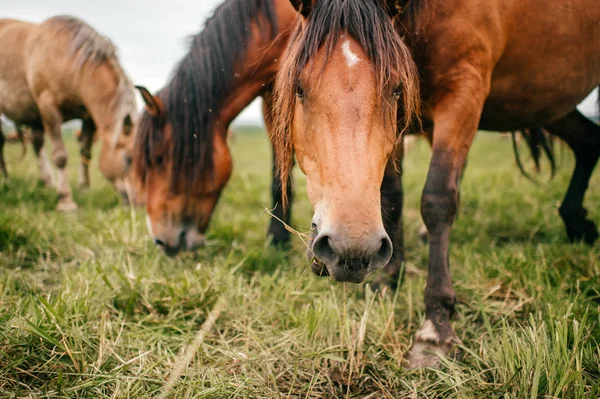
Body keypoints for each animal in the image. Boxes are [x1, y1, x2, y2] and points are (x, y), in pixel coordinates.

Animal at [0, 15, 137, 209]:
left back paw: (48, 183)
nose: (140, 202)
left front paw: (84, 189)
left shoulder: (88, 117)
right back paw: (6, 180)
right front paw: (65, 200)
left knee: (37, 144)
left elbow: (85, 152)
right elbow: (60, 156)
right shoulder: (49, 107)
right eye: (128, 159)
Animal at [274, 0, 600, 368]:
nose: (352, 248)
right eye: (300, 89)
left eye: (396, 89)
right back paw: (578, 223)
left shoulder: (464, 91)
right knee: (590, 142)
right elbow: (391, 194)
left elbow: (437, 199)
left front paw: (436, 327)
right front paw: (389, 281)